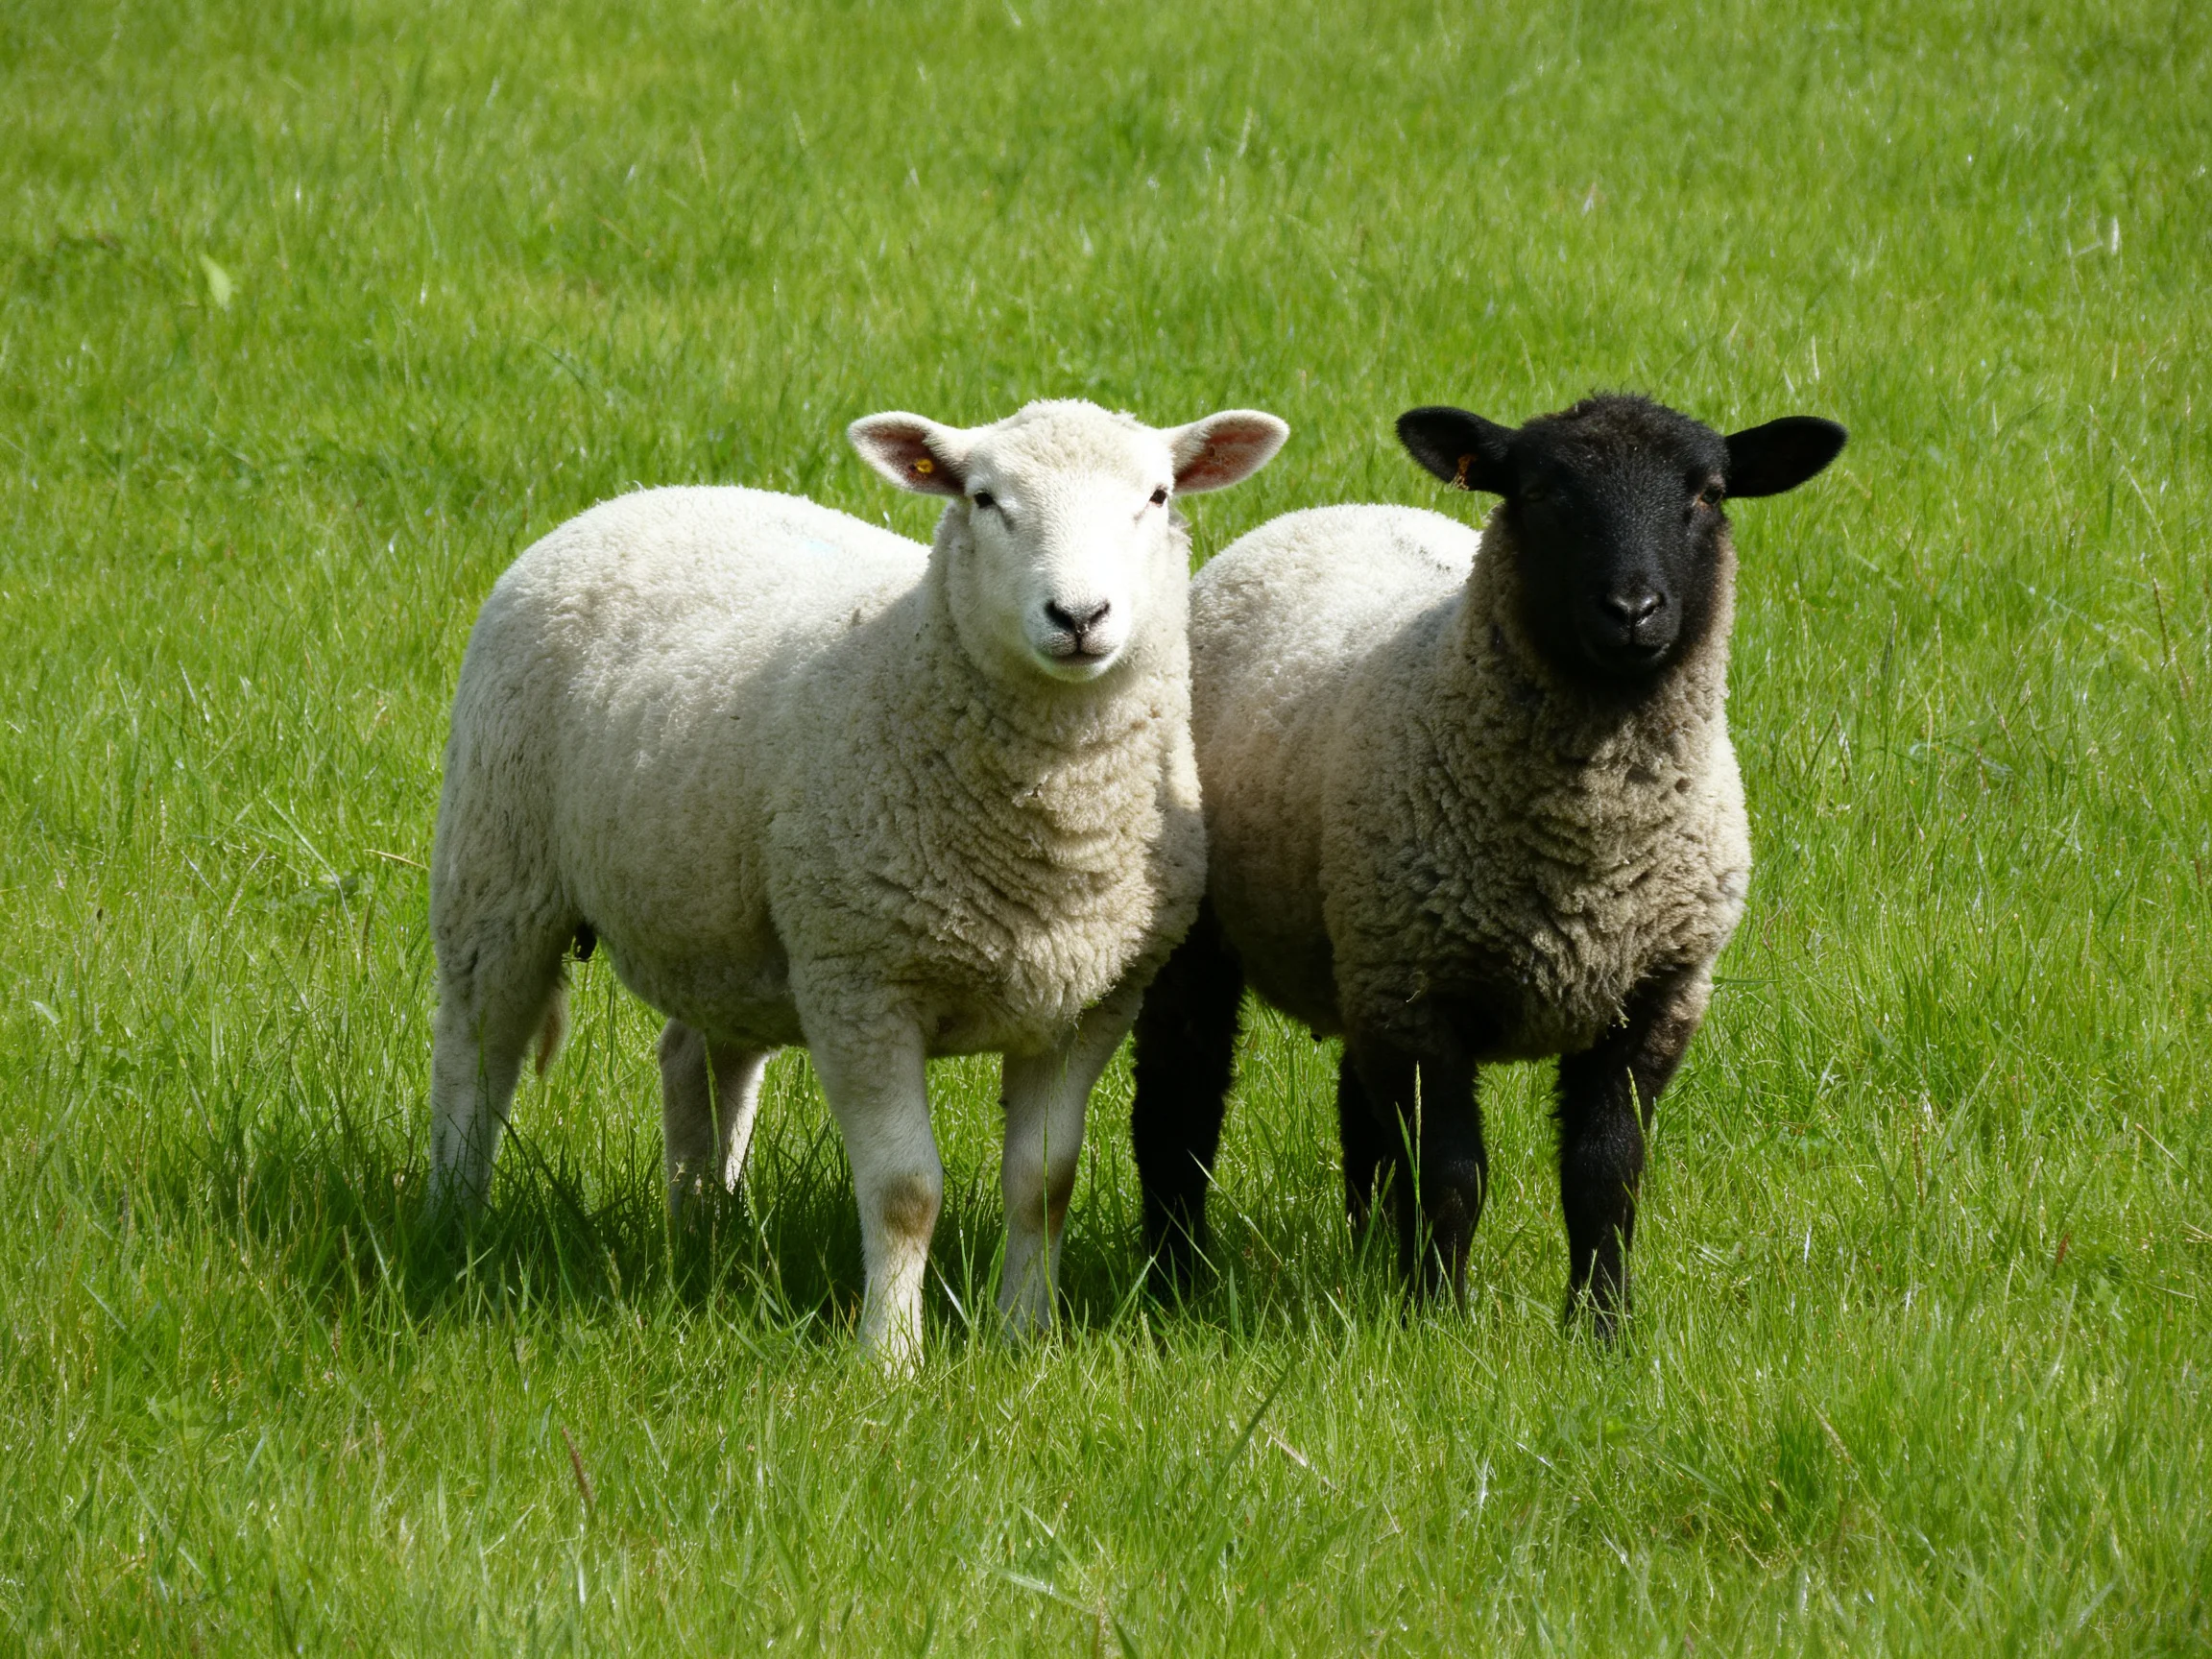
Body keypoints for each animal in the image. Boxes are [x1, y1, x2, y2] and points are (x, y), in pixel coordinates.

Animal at [426, 398, 1289, 1365]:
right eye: (984, 499)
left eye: (1158, 495)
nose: (1078, 614)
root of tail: (641, 496)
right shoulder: (861, 985)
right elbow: (906, 1190)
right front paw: (890, 1357)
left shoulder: (1089, 1002)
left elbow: (1044, 1183)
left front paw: (1026, 1338)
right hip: (499, 868)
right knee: (477, 1054)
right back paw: (453, 1226)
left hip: (723, 930)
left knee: (697, 1059)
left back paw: (705, 1233)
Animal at [1130, 393, 1844, 1333]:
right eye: (1540, 492)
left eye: (1709, 493)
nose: (1634, 609)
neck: (1592, 853)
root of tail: (1334, 510)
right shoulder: (1420, 997)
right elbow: (1451, 1179)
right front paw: (1438, 1321)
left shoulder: (1657, 994)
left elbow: (1605, 1177)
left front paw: (1599, 1331)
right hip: (1225, 936)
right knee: (1179, 1102)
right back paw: (1174, 1277)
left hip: (1362, 951)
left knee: (1360, 1117)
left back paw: (1367, 1259)